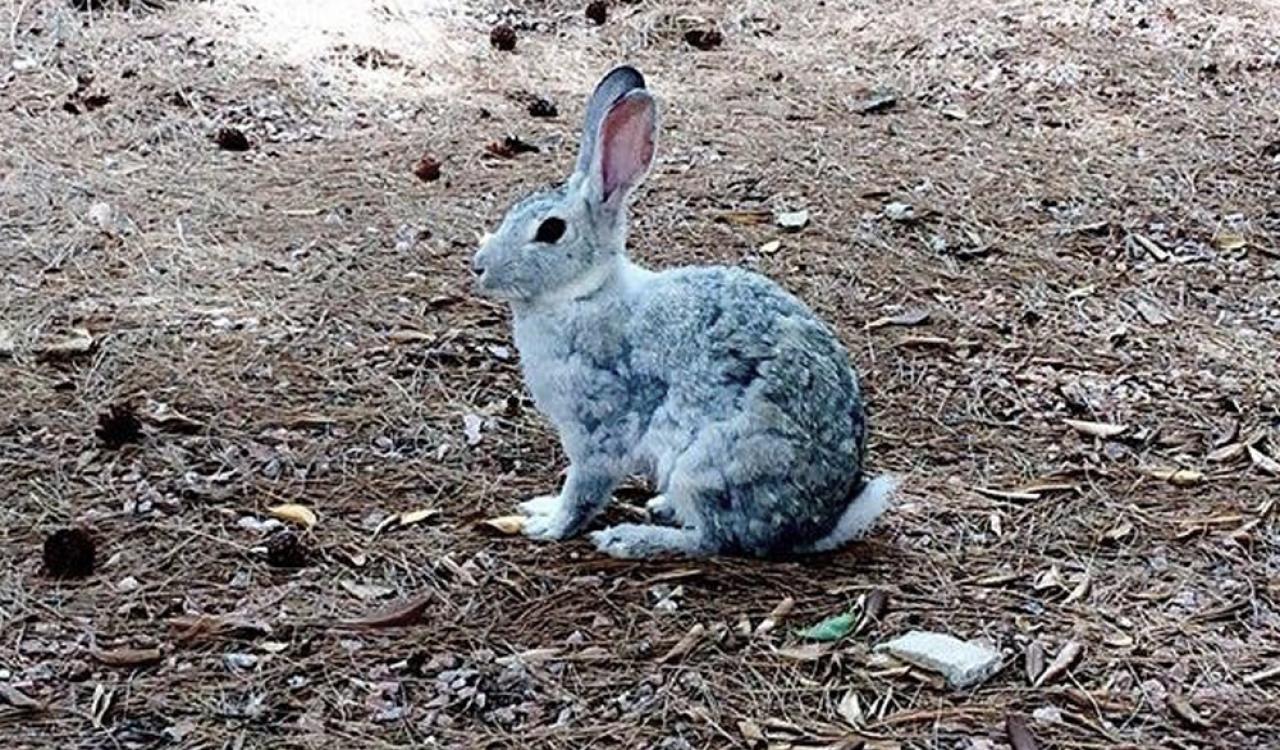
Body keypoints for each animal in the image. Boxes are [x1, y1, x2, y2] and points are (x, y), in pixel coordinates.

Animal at [468, 65, 890, 555]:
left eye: (551, 231)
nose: (479, 267)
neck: (583, 293)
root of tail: (817, 525)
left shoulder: (598, 426)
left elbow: (584, 487)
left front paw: (549, 525)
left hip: (706, 463)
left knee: (712, 539)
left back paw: (632, 538)